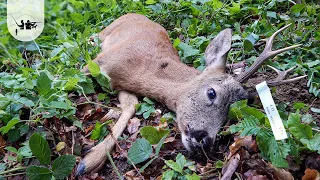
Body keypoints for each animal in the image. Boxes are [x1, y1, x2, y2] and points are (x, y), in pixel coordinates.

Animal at [76, 13, 306, 176]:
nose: (205, 141)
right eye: (212, 93)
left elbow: (131, 106)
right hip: (105, 32)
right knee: (91, 36)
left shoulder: (121, 86)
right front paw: (84, 163)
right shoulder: (99, 62)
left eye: (229, 114)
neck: (140, 71)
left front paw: (88, 162)